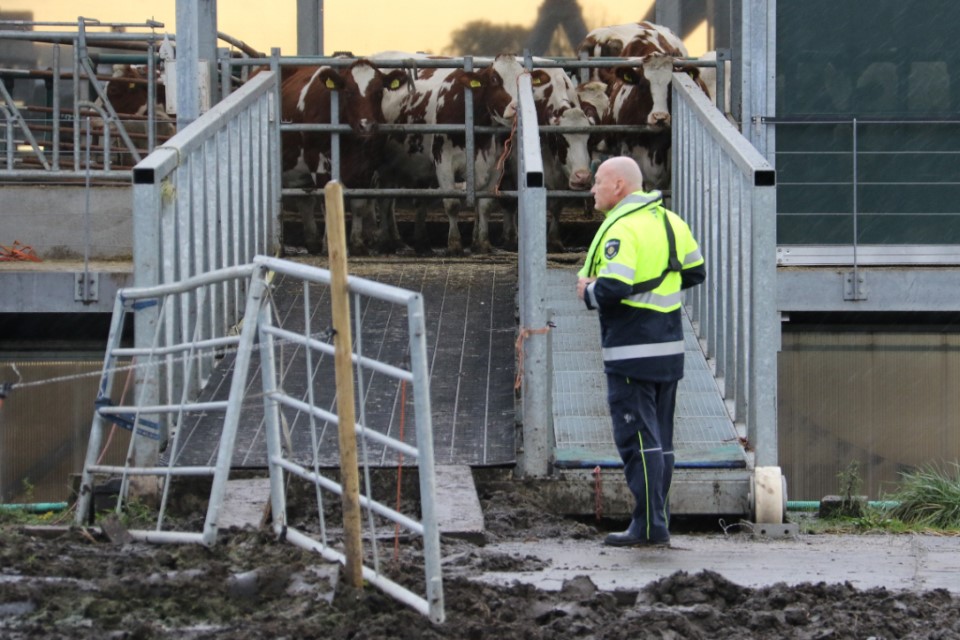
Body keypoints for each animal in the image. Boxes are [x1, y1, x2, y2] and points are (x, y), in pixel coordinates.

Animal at [280, 57, 410, 252]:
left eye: (379, 92)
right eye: (348, 92)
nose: (366, 126)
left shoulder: (367, 166)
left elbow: (358, 205)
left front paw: (357, 242)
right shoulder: (317, 160)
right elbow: (326, 201)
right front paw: (329, 244)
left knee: (305, 202)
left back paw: (312, 241)